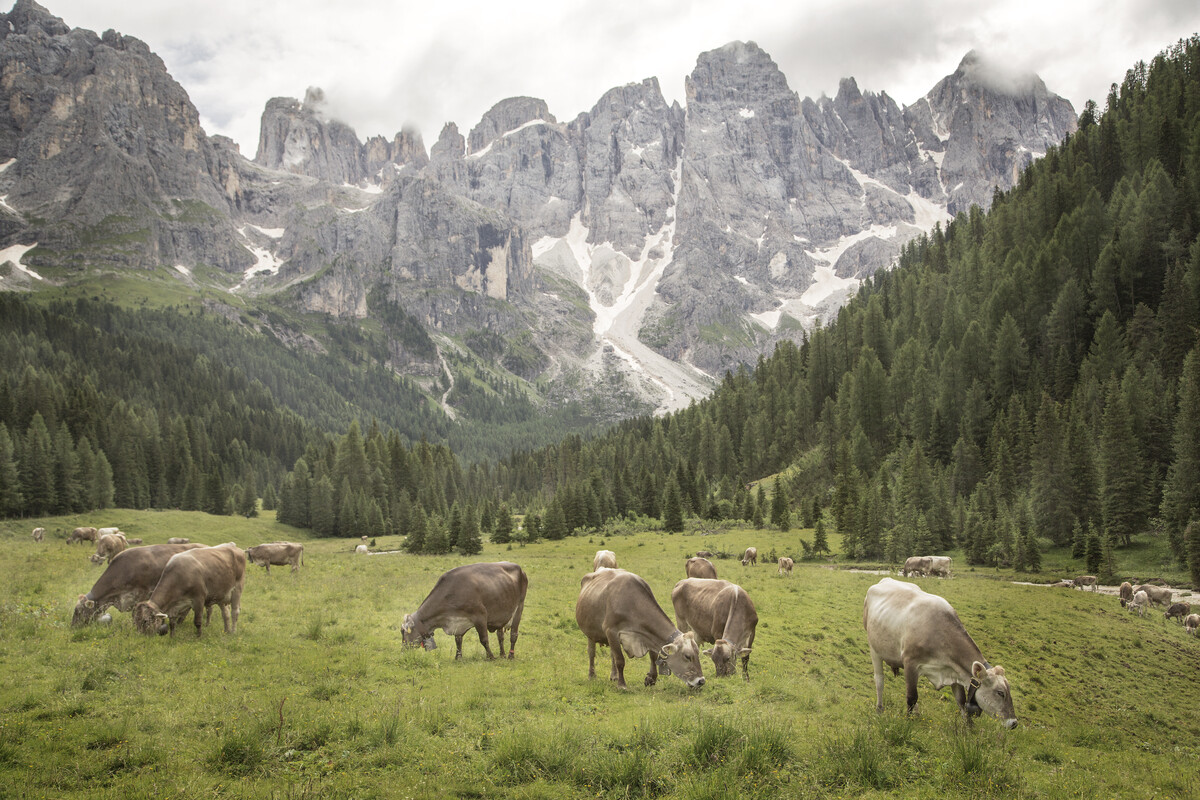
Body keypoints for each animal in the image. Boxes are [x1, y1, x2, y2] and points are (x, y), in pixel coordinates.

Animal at [400, 561, 528, 662]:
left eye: (403, 632)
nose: (402, 651)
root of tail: (520, 568)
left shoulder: (480, 616)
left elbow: (484, 639)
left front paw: (491, 656)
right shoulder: (457, 621)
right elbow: (458, 640)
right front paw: (458, 657)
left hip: (519, 607)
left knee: (513, 635)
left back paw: (511, 655)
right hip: (501, 615)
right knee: (500, 636)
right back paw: (502, 654)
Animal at [576, 566, 705, 690]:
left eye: (698, 653)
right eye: (687, 656)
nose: (701, 681)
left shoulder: (647, 635)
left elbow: (653, 656)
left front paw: (651, 678)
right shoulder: (611, 631)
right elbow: (620, 660)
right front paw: (622, 685)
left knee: (612, 655)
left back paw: (614, 676)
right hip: (591, 632)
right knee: (592, 653)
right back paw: (592, 675)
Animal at [859, 578, 1017, 729]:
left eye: (1009, 691)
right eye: (1000, 692)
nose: (1013, 723)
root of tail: (884, 580)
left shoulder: (954, 671)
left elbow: (961, 701)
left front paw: (969, 728)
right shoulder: (910, 663)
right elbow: (911, 696)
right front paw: (907, 721)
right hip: (874, 647)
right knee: (879, 680)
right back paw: (880, 708)